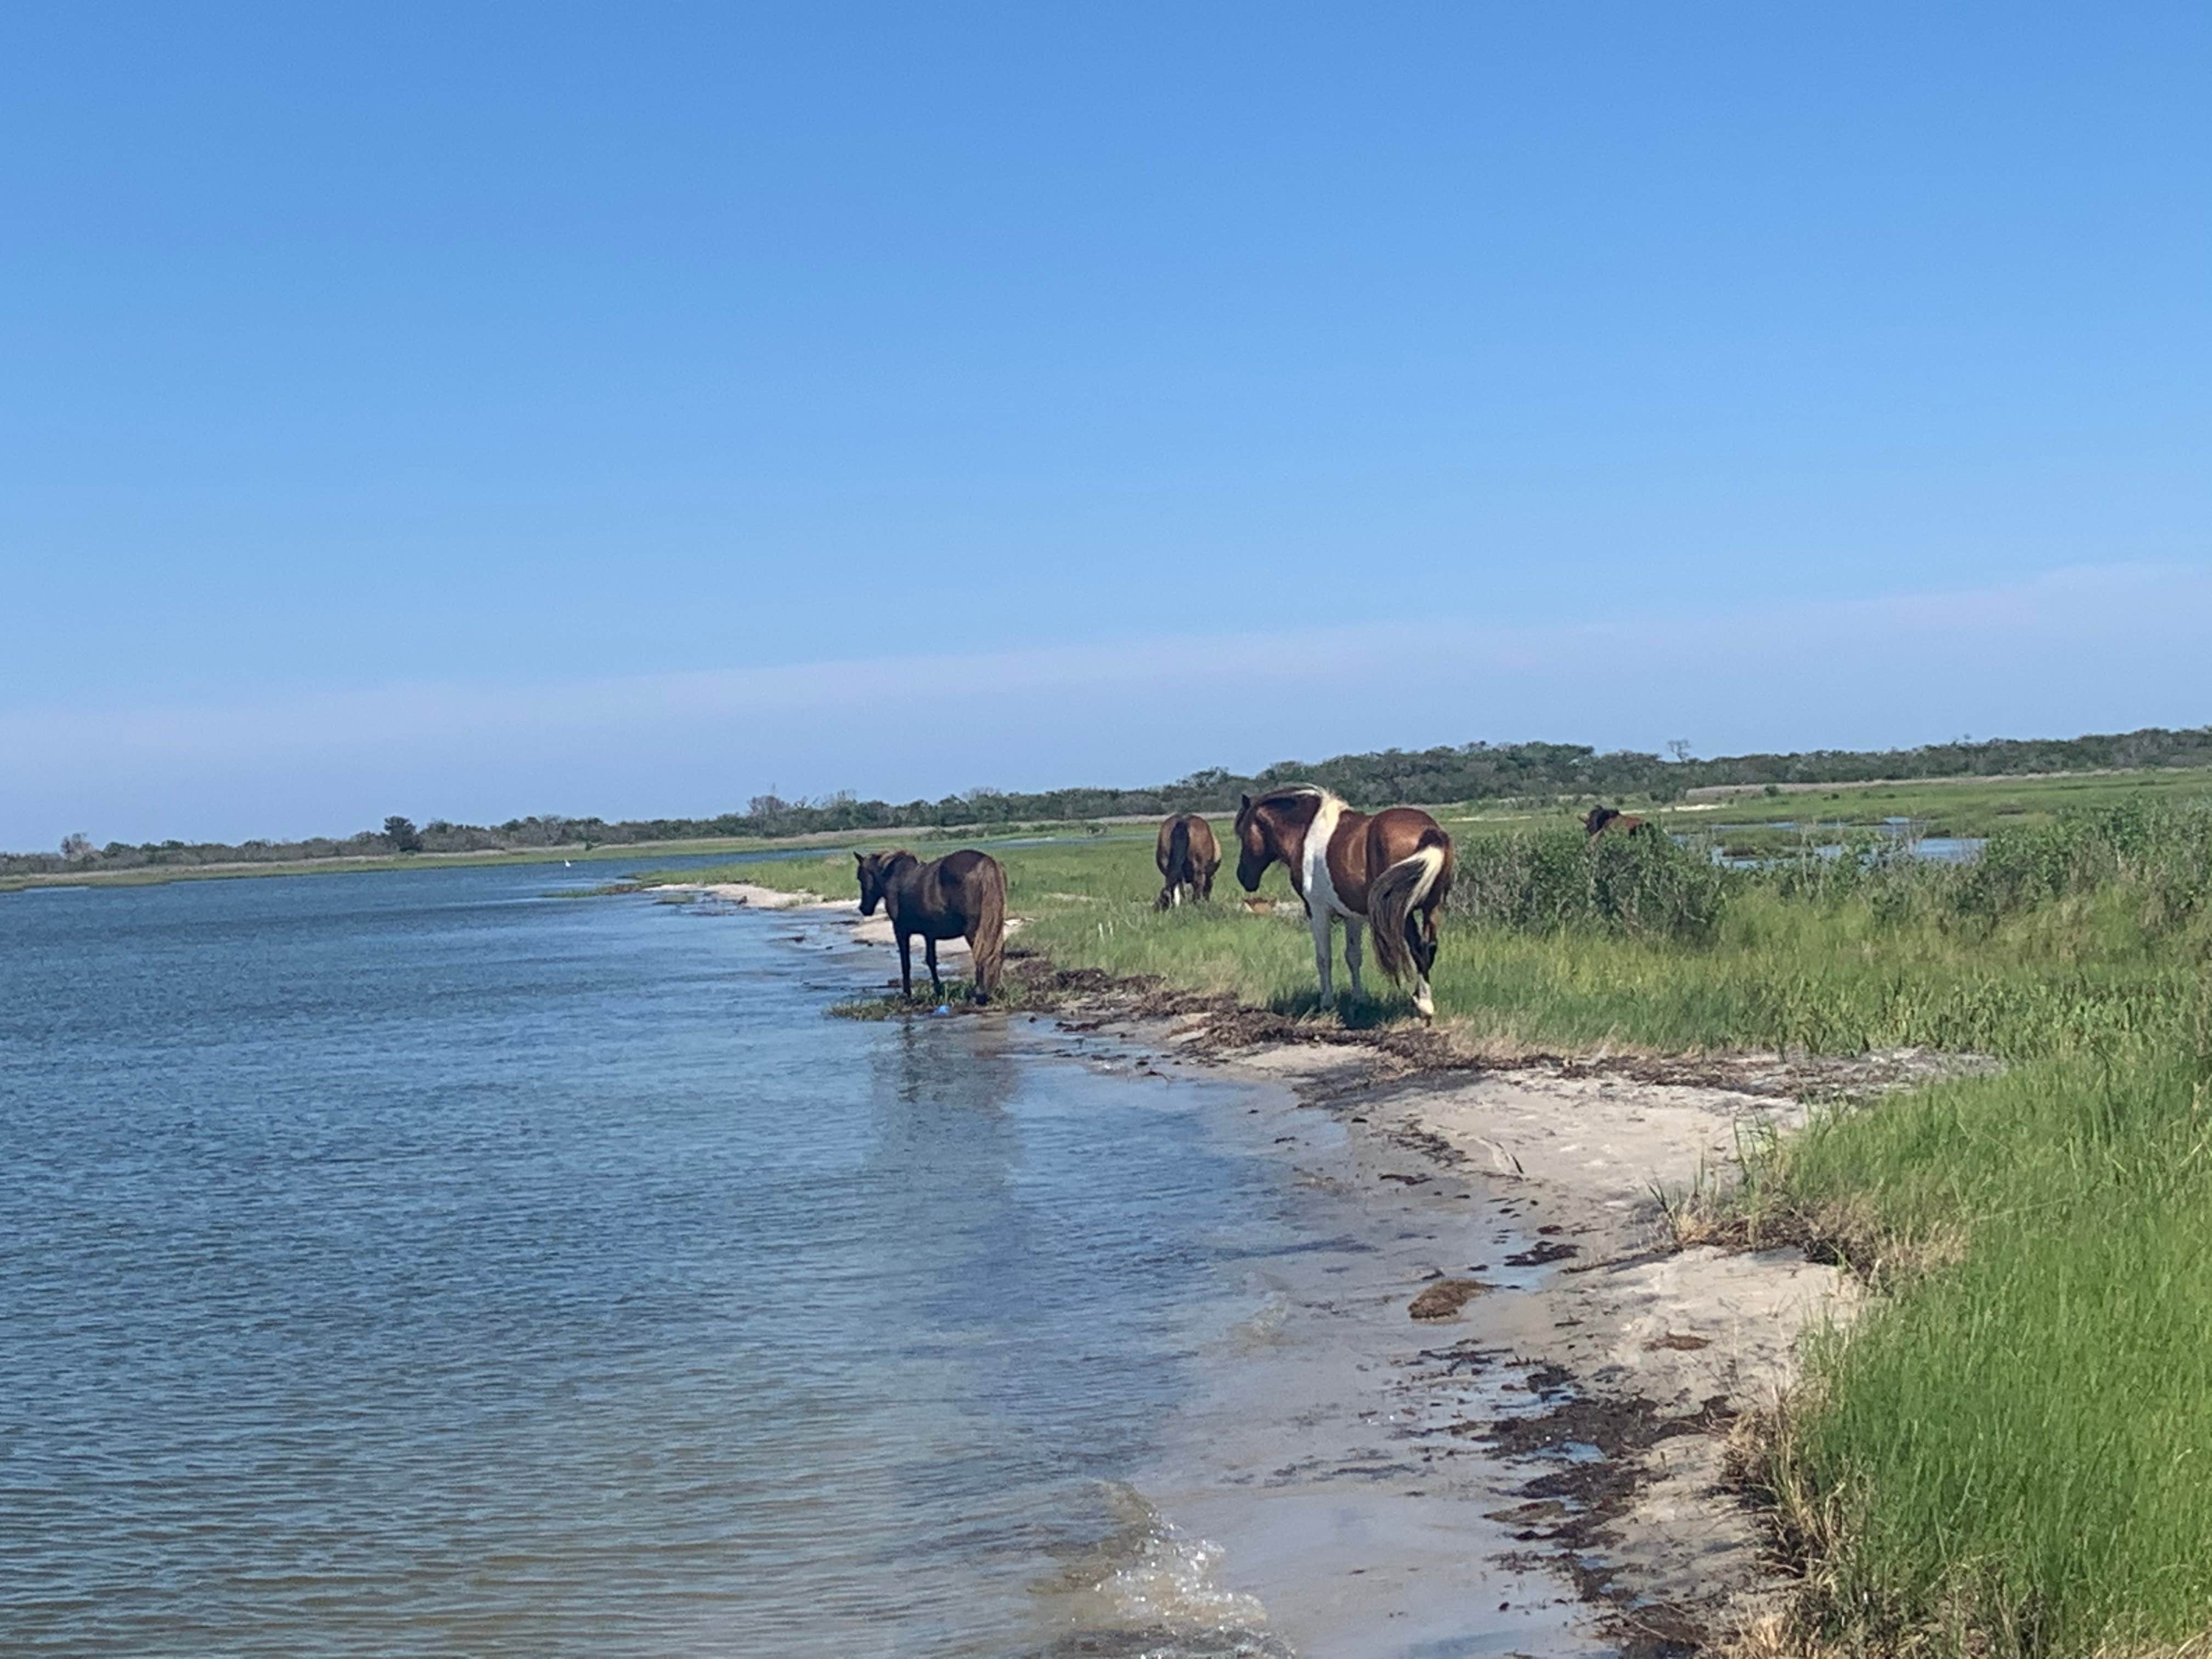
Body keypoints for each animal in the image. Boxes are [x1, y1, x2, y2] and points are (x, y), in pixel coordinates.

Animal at [855, 848, 1007, 1003]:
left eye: (860, 877)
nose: (863, 908)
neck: (896, 878)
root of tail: (985, 863)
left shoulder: (901, 931)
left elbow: (906, 963)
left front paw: (907, 994)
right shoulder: (929, 934)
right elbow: (931, 961)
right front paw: (938, 990)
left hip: (974, 931)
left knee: (982, 955)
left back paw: (979, 993)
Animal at [1233, 786, 1455, 1021]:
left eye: (1243, 833)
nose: (1243, 877)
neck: (1306, 833)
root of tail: (1429, 832)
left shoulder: (1317, 910)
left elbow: (1324, 957)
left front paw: (1327, 1002)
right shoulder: (1352, 915)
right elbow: (1353, 956)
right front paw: (1358, 1000)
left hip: (1403, 911)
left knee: (1418, 947)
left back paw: (1424, 1005)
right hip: (1432, 906)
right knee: (1429, 947)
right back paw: (1421, 999)